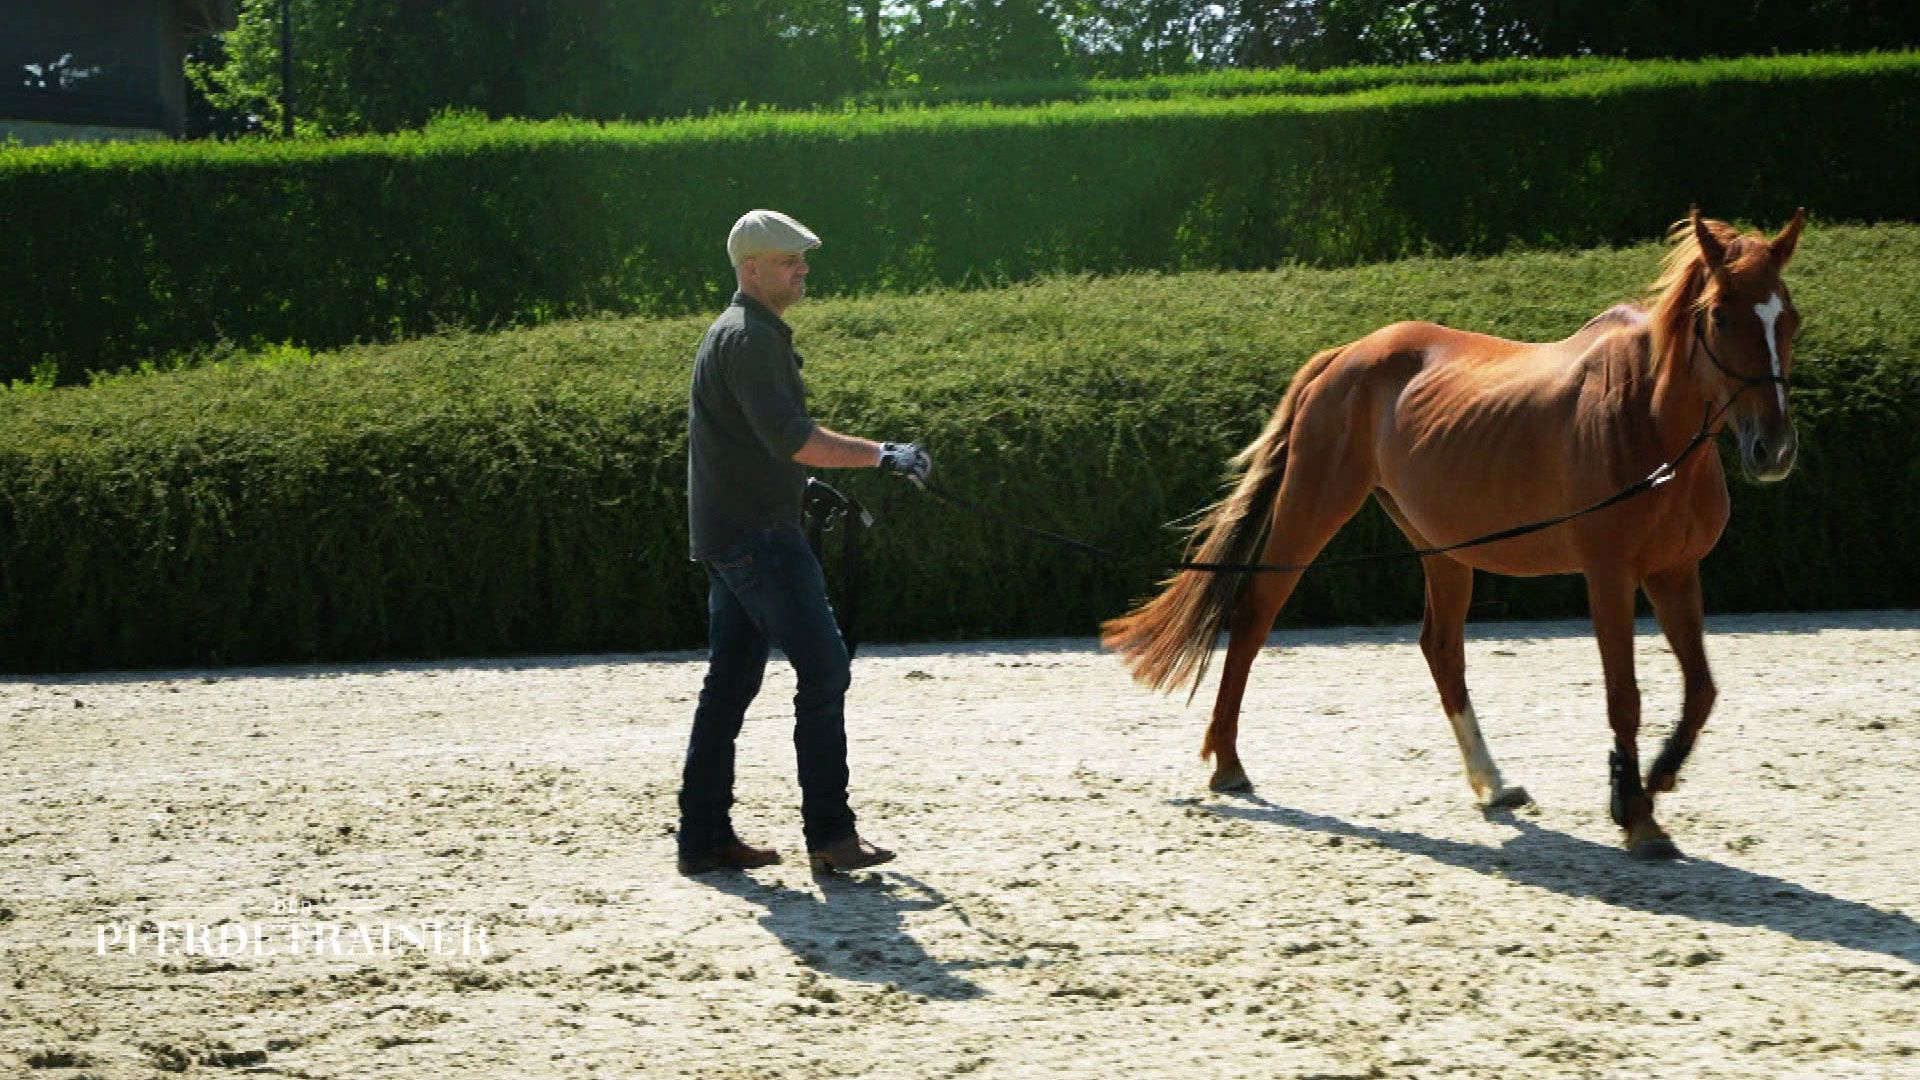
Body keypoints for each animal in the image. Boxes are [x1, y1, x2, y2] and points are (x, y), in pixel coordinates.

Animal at [1105, 205, 1804, 853]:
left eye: (1789, 317)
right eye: (1721, 316)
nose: (1772, 449)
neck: (1647, 422)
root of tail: (1346, 355)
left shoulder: (1673, 572)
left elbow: (1701, 690)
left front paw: (1654, 781)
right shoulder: (1610, 576)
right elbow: (1624, 694)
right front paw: (1634, 812)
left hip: (1442, 547)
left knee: (1441, 648)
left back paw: (1492, 783)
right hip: (1312, 509)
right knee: (1254, 617)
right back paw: (1228, 763)